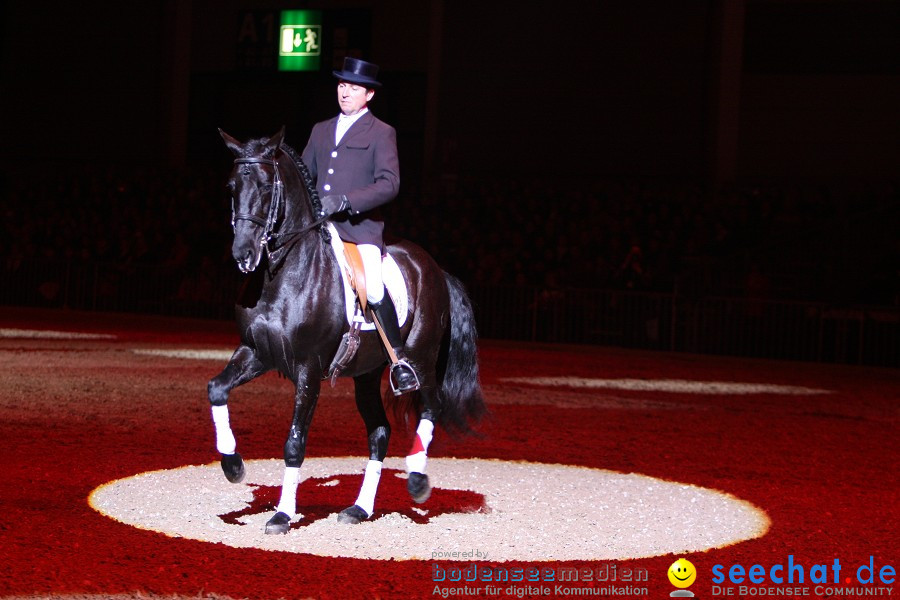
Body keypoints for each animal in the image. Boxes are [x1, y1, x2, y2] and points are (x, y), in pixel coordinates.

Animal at [208, 129, 486, 532]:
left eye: (265, 185)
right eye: (231, 187)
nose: (243, 255)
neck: (283, 272)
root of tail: (433, 267)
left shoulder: (308, 367)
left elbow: (295, 443)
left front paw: (282, 514)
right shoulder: (256, 352)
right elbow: (216, 389)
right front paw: (233, 465)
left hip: (420, 357)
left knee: (430, 407)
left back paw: (417, 481)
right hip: (367, 373)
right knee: (379, 432)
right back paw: (359, 509)